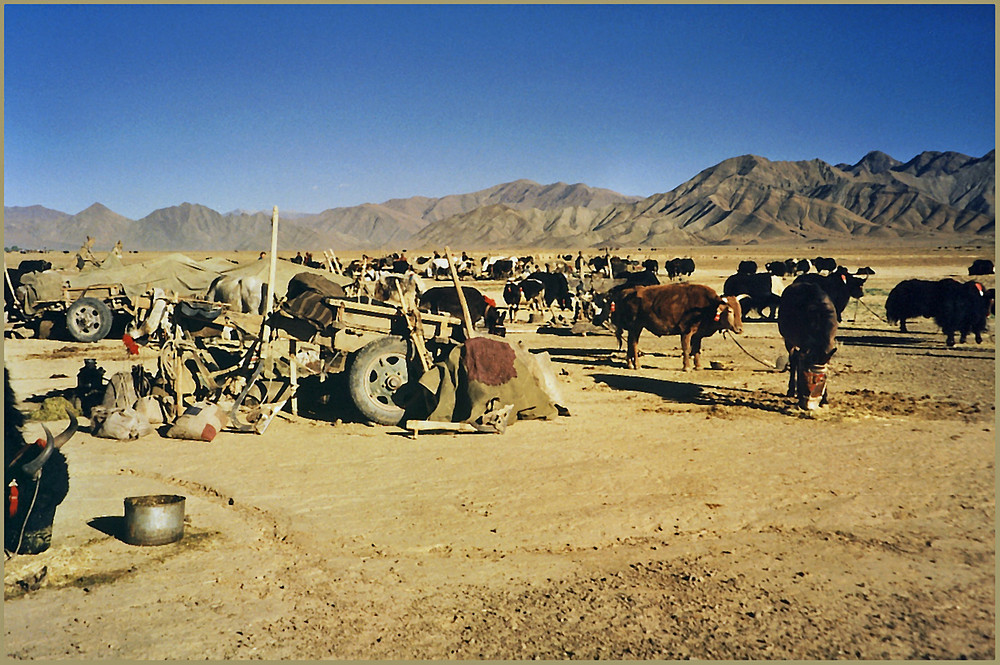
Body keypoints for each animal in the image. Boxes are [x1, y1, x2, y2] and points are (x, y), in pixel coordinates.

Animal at [612, 282, 748, 370]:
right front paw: (686, 367)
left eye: (740, 309)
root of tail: (628, 291)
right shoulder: (686, 331)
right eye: (730, 311)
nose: (740, 329)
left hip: (634, 328)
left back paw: (630, 364)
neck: (707, 307)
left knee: (630, 344)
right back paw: (637, 365)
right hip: (636, 327)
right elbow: (686, 348)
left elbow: (696, 349)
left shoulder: (697, 334)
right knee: (634, 344)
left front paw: (698, 366)